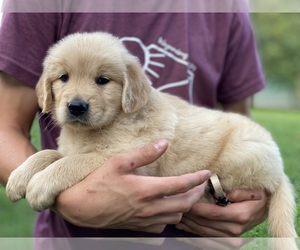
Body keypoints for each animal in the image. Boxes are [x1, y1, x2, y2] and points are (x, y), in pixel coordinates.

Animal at [5, 32, 296, 243]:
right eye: (63, 77)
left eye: (103, 80)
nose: (76, 107)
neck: (108, 123)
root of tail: (280, 169)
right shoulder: (71, 148)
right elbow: (50, 154)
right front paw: (20, 177)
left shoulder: (124, 158)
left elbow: (74, 162)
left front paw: (40, 184)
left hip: (241, 155)